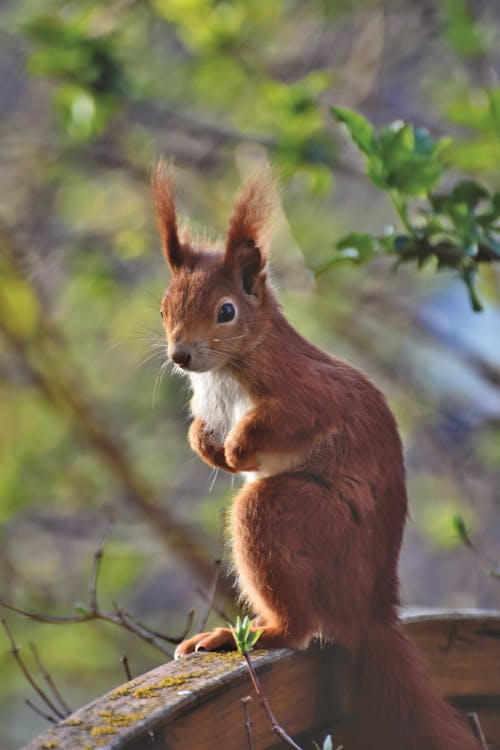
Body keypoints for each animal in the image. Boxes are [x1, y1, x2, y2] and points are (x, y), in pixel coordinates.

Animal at [151, 164, 476, 750]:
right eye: (164, 308)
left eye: (226, 312)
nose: (179, 356)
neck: (225, 370)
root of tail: (371, 608)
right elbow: (198, 431)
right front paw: (209, 447)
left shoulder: (306, 393)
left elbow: (288, 419)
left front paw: (237, 448)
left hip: (306, 521)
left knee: (296, 618)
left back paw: (248, 634)